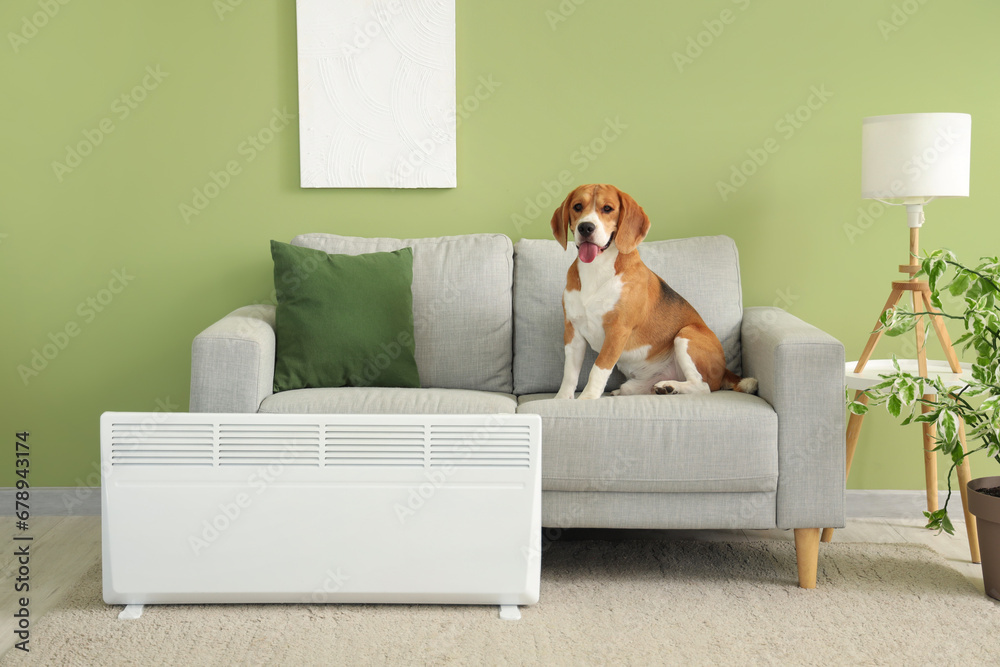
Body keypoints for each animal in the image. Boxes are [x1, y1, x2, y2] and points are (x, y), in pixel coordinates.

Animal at [548, 183, 756, 400]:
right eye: (577, 206)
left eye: (607, 208)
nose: (586, 227)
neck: (597, 268)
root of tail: (725, 370)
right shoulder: (573, 331)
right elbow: (569, 374)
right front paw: (561, 400)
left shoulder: (617, 330)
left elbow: (598, 369)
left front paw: (587, 398)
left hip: (686, 335)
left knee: (703, 386)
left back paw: (671, 387)